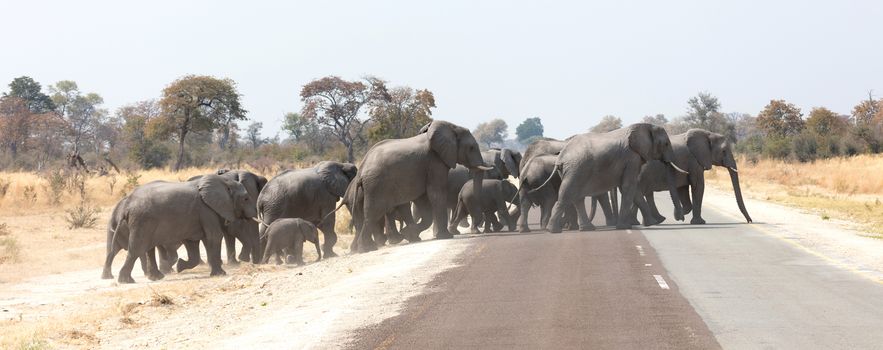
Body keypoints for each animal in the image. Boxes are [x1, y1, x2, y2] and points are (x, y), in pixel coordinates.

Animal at [104, 174, 256, 284]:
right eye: (246, 198)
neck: (223, 181)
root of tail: (127, 205)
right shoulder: (206, 210)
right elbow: (214, 237)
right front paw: (220, 274)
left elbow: (193, 243)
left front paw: (180, 266)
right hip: (142, 220)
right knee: (136, 249)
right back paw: (126, 281)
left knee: (146, 249)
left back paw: (156, 277)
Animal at [348, 120, 494, 252]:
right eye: (471, 148)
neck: (452, 127)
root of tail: (361, 169)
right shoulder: (435, 162)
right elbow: (436, 193)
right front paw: (446, 236)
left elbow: (425, 204)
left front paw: (409, 233)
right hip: (376, 184)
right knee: (374, 212)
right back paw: (367, 249)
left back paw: (368, 247)